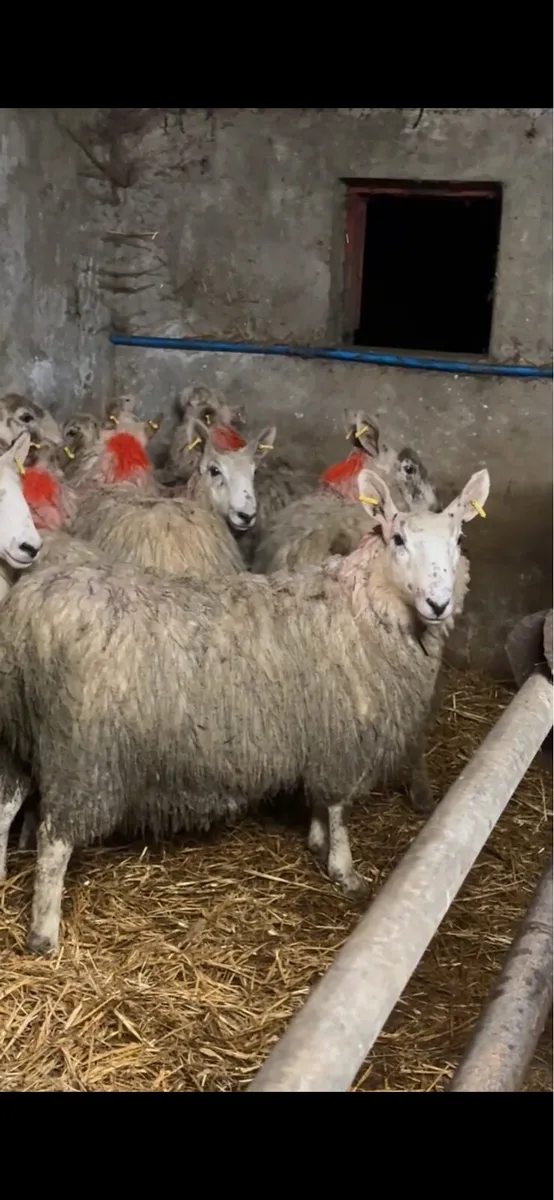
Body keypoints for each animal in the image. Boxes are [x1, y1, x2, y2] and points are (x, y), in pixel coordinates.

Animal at [0, 460, 489, 954]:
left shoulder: (319, 732)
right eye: (398, 539)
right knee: (54, 841)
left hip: (20, 737)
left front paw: (316, 842)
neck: (361, 605)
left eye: (459, 540)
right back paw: (43, 933)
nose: (438, 603)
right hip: (83, 755)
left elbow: (319, 800)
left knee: (6, 806)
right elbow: (338, 807)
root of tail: (28, 611)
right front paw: (344, 870)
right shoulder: (344, 735)